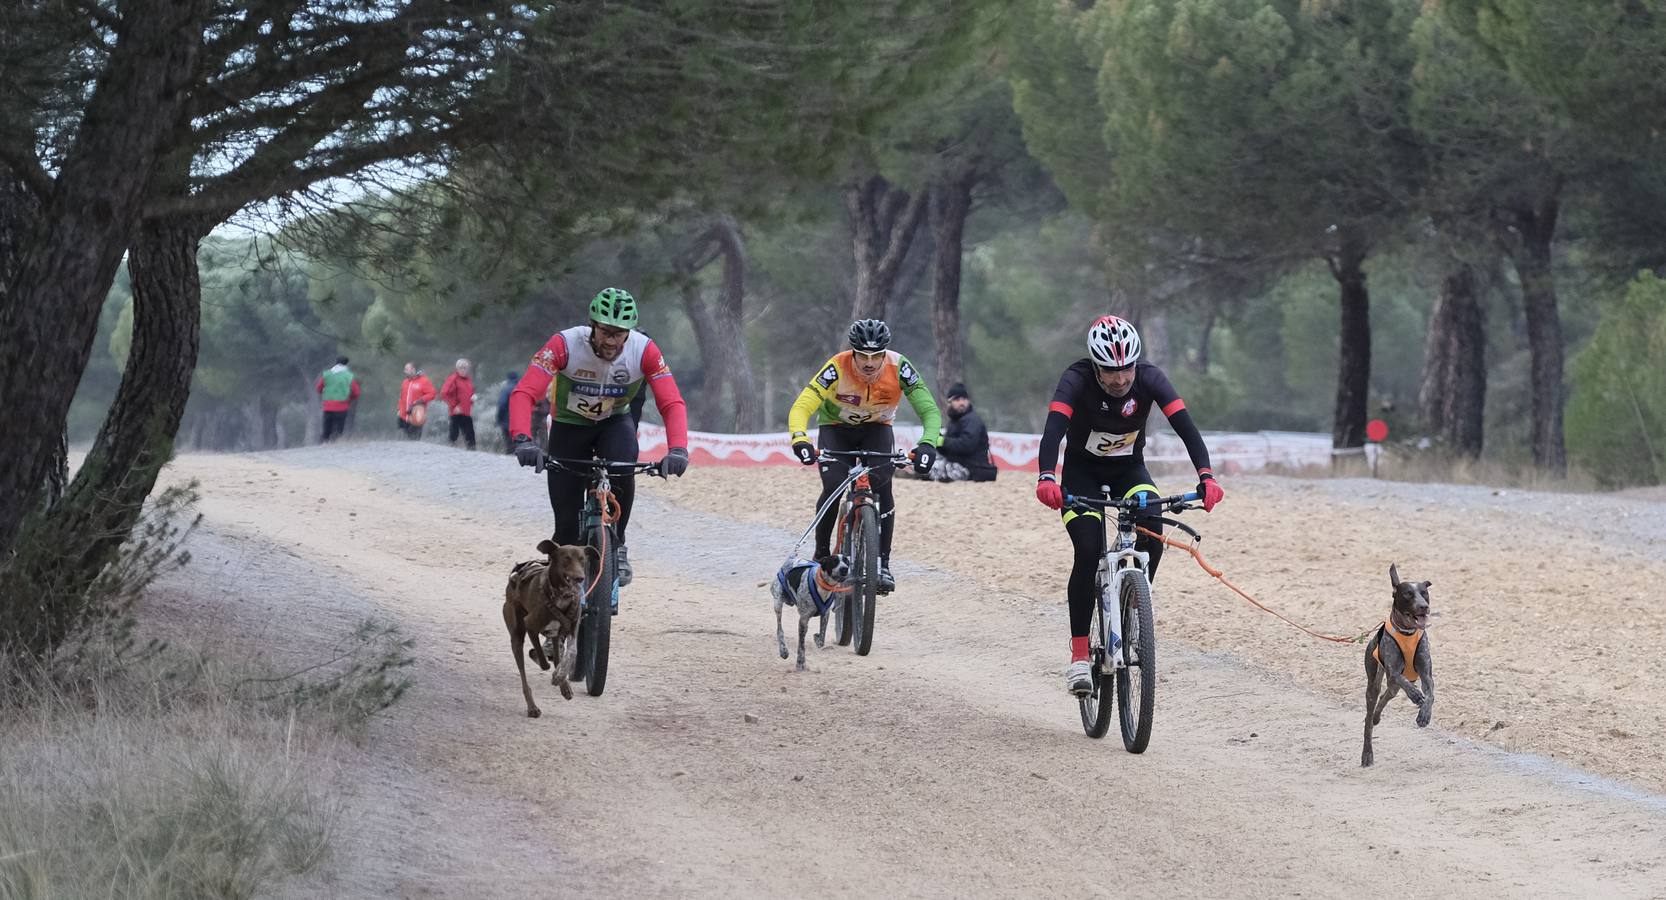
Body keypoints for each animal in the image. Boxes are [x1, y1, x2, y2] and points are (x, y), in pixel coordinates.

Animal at [499, 540, 593, 716]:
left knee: (557, 654)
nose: (580, 578)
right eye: (566, 558)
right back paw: (532, 707)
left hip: (555, 636)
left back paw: (563, 684)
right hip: (517, 634)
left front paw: (560, 676)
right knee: (525, 673)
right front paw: (541, 660)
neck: (561, 596)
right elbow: (543, 661)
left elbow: (572, 651)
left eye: (582, 559)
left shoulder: (572, 628)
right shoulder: (530, 624)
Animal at [1366, 563, 1432, 766]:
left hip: (1391, 688)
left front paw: (1424, 715)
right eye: (1408, 594)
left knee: (1386, 696)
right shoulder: (1393, 671)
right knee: (1369, 719)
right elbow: (1403, 679)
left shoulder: (1427, 675)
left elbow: (1431, 696)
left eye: (1424, 592)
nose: (1424, 607)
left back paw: (1378, 717)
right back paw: (1367, 754)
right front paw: (1416, 695)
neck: (1408, 632)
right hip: (1373, 684)